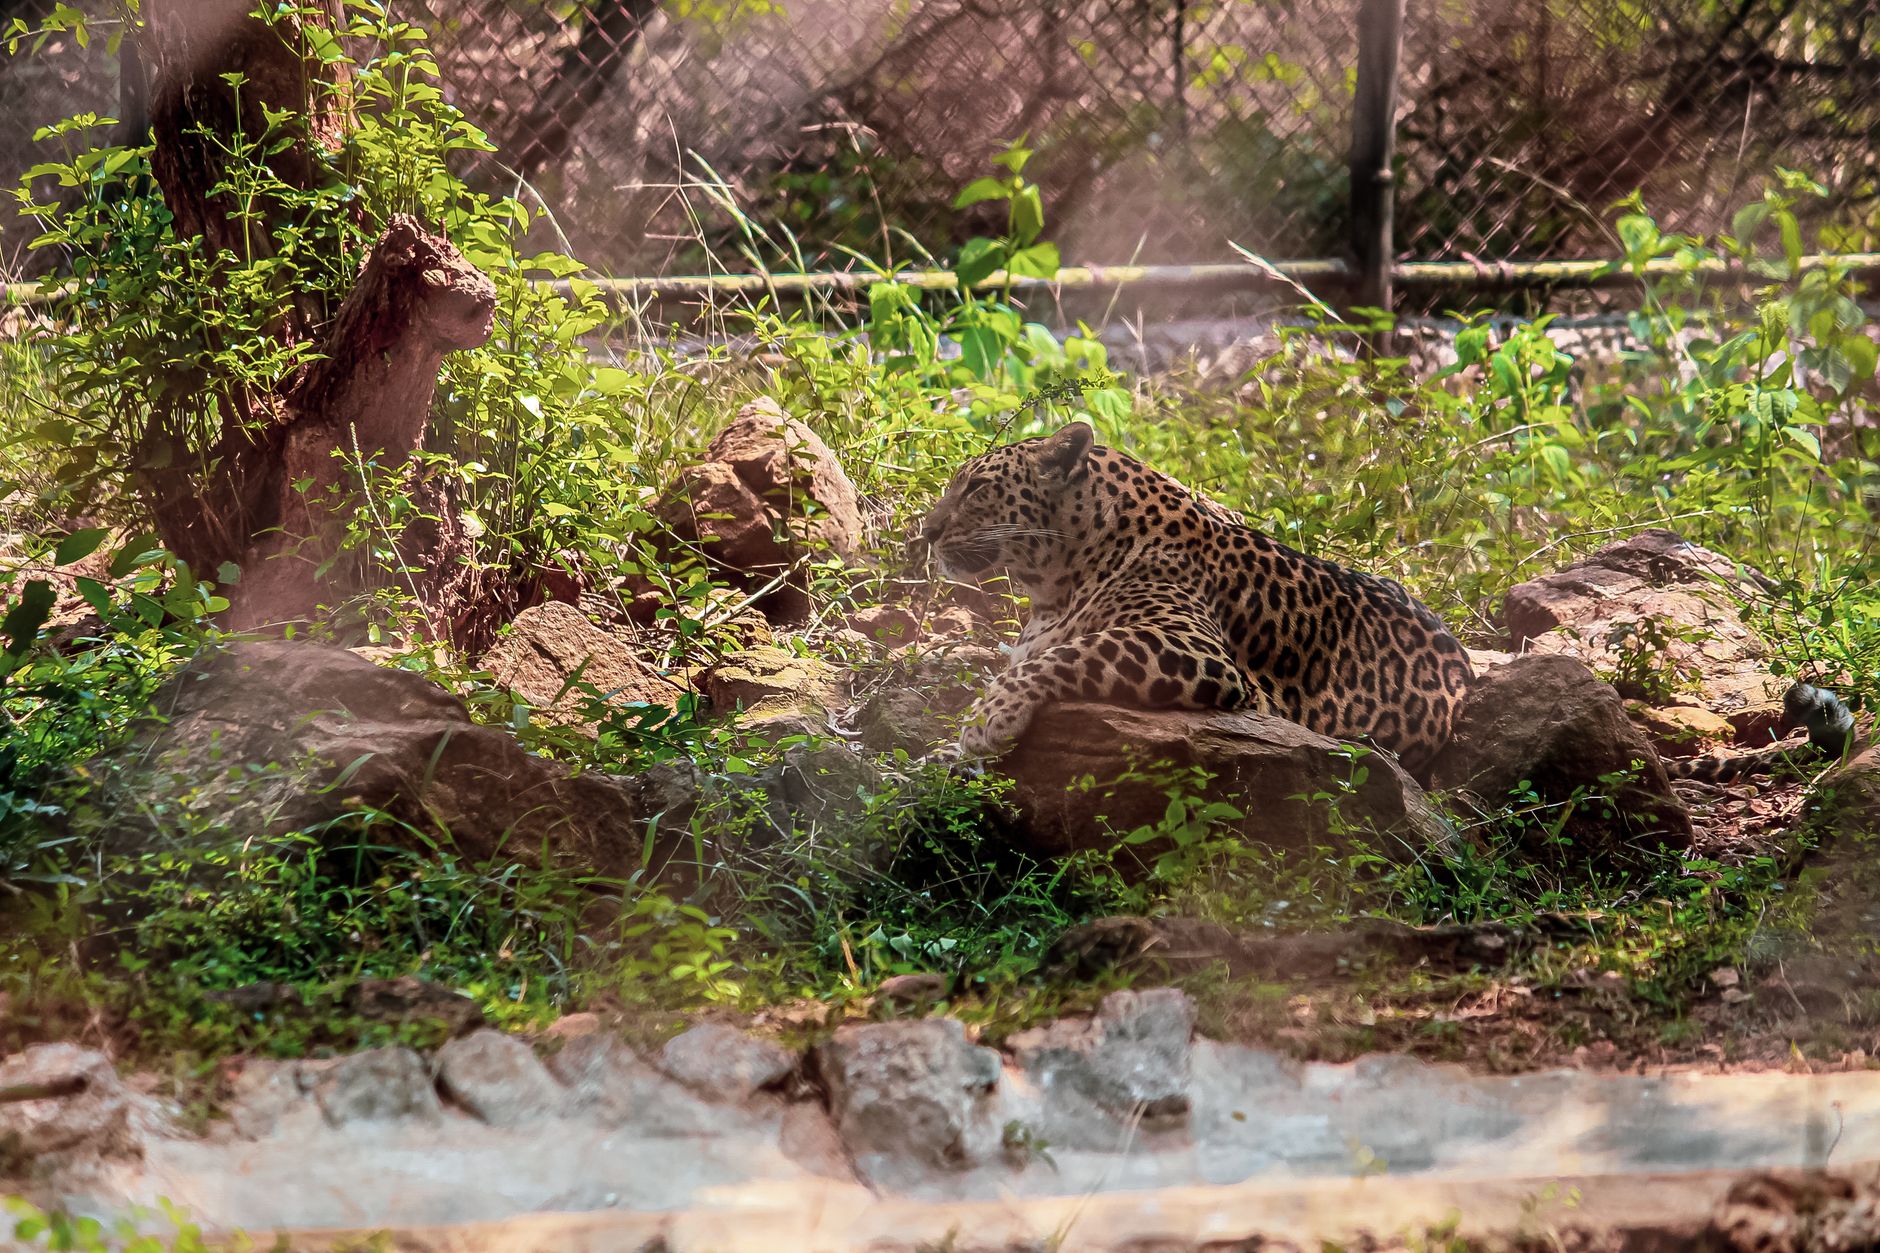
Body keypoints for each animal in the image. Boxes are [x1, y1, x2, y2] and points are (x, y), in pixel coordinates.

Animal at [919, 421, 1861, 785]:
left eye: (976, 488)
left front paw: (977, 733)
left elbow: (1044, 663)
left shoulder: (1196, 654)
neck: (1064, 573)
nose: (924, 532)